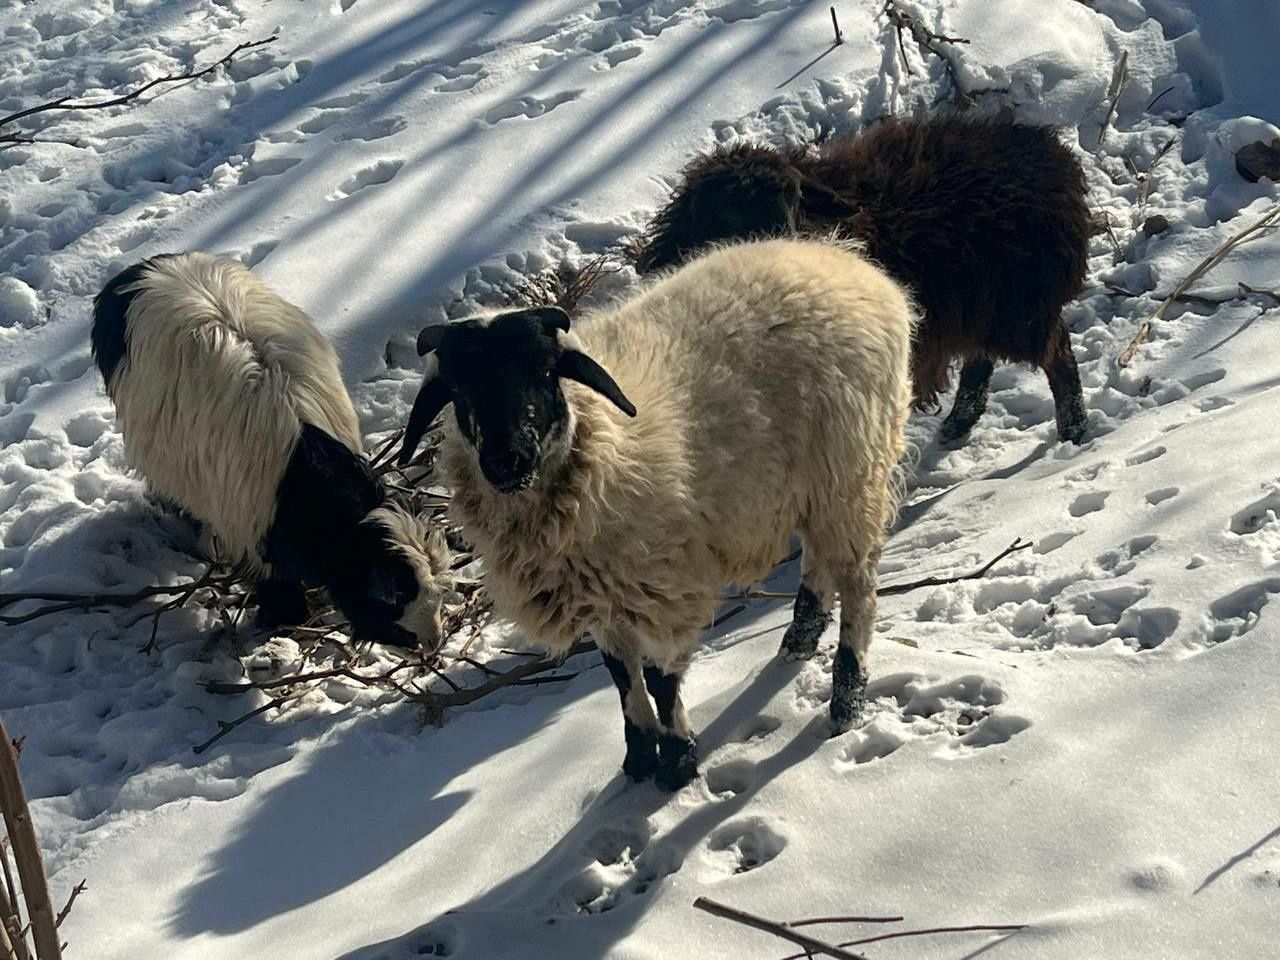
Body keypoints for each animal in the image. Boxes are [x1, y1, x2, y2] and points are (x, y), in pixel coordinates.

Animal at [91, 252, 450, 650]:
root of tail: (143, 268)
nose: (433, 641)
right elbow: (276, 582)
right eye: (391, 598)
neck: (303, 475)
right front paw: (285, 620)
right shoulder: (249, 526)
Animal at [396, 239, 911, 788]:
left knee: (858, 583)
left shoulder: (662, 588)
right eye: (459, 390)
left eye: (543, 372)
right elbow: (621, 677)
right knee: (818, 563)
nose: (505, 461)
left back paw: (846, 699)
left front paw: (678, 762)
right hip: (816, 488)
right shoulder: (599, 594)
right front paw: (639, 757)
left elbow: (661, 679)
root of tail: (849, 263)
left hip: (852, 469)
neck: (602, 440)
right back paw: (799, 639)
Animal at [629, 114, 1090, 445]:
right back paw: (959, 424)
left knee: (1058, 354)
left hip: (1017, 302)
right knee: (983, 359)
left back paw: (1074, 432)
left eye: (795, 199)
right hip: (983, 302)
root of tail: (1051, 157)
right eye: (727, 217)